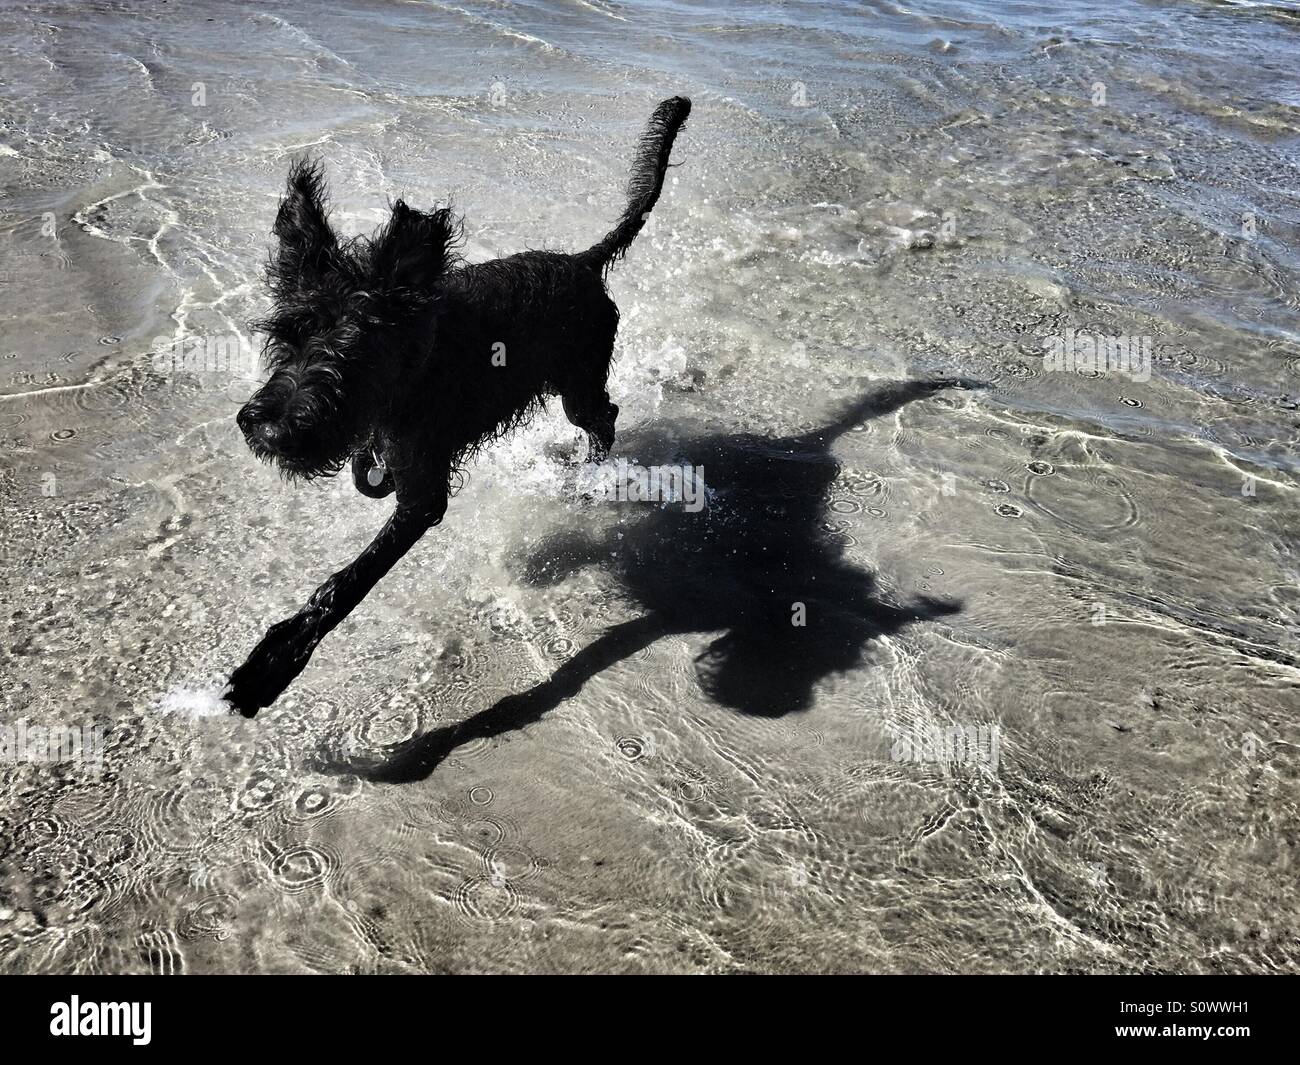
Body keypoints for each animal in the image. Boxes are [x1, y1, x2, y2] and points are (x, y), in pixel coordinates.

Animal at [223, 98, 691, 717]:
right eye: (287, 336)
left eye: (357, 351)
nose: (272, 432)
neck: (416, 367)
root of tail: (583, 262)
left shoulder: (422, 497)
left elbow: (348, 580)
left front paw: (271, 665)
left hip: (579, 385)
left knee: (605, 418)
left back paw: (588, 477)